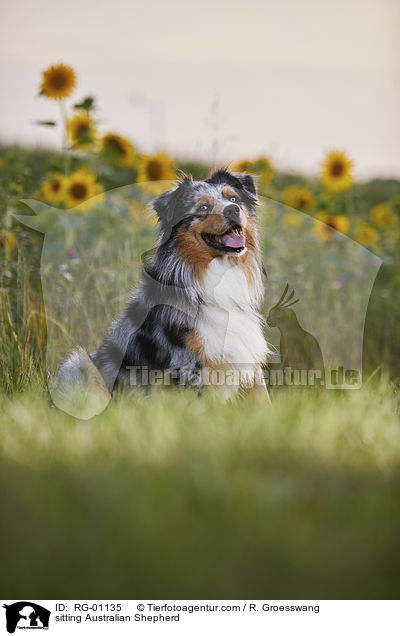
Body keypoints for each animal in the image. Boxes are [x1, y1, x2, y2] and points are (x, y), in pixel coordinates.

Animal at [52, 169, 268, 418]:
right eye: (203, 207)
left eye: (233, 198)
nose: (233, 210)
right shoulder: (193, 367)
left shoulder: (248, 360)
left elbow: (265, 402)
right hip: (80, 364)